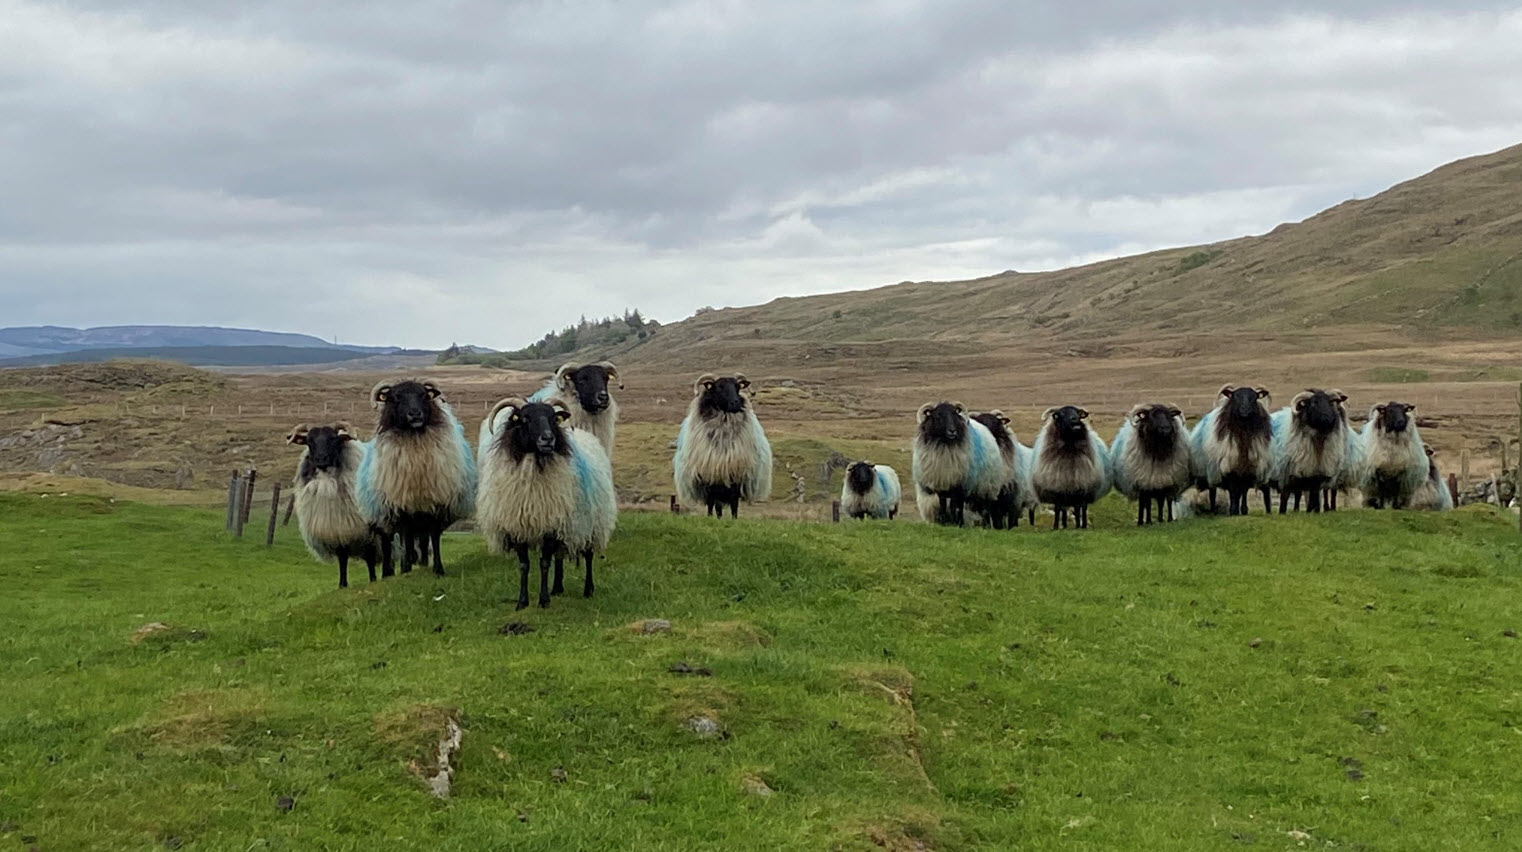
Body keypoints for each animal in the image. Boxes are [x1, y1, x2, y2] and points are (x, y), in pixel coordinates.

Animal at [287, 423, 380, 588]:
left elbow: (370, 558)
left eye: (333, 439)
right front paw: (342, 585)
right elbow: (342, 560)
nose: (320, 458)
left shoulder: (367, 532)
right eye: (309, 441)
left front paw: (373, 580)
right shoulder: (338, 530)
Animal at [356, 379, 476, 576]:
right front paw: (406, 569)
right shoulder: (403, 506)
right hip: (383, 517)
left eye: (423, 395)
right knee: (392, 543)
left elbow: (434, 537)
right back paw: (393, 570)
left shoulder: (435, 502)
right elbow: (406, 538)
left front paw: (438, 569)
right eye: (395, 398)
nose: (415, 414)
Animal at [476, 397, 617, 609]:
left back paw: (588, 590)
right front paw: (522, 601)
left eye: (552, 418)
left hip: (591, 523)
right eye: (524, 419)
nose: (548, 439)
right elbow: (524, 565)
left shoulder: (550, 525)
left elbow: (544, 563)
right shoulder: (518, 526)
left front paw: (543, 601)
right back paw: (557, 587)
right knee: (559, 556)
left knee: (588, 555)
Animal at [672, 373, 773, 518]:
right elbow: (715, 506)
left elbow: (734, 505)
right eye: (719, 387)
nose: (735, 403)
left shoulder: (736, 476)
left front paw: (734, 519)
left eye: (738, 387)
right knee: (713, 504)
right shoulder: (711, 477)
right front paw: (715, 518)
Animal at [1189, 385, 1275, 516]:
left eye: (1254, 397)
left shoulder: (1247, 468)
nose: (1245, 411)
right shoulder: (1229, 467)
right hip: (1213, 471)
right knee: (1213, 492)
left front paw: (1243, 510)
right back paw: (1213, 510)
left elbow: (1243, 490)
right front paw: (1233, 510)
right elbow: (1233, 491)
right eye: (1235, 396)